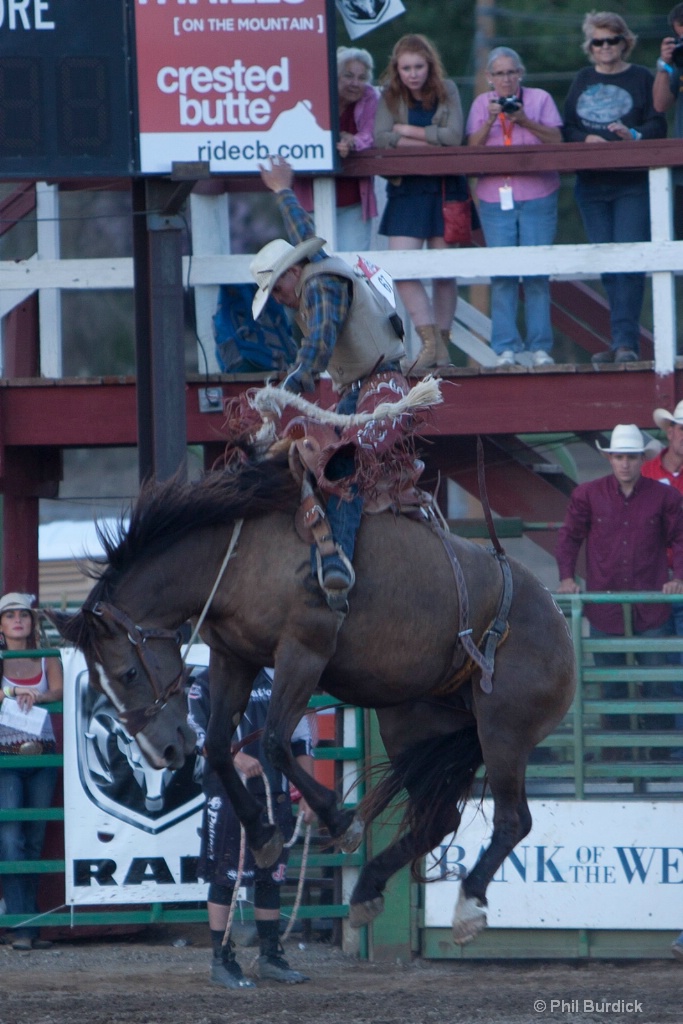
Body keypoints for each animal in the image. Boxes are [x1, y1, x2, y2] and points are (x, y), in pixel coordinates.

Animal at [49, 456, 577, 942]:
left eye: (128, 672)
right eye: (99, 684)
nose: (163, 752)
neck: (238, 557)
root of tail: (555, 616)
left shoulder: (304, 652)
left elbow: (275, 743)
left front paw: (339, 820)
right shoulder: (233, 657)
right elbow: (219, 746)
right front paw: (263, 835)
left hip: (503, 730)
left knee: (513, 820)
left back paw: (468, 903)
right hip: (416, 724)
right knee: (442, 817)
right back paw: (367, 888)